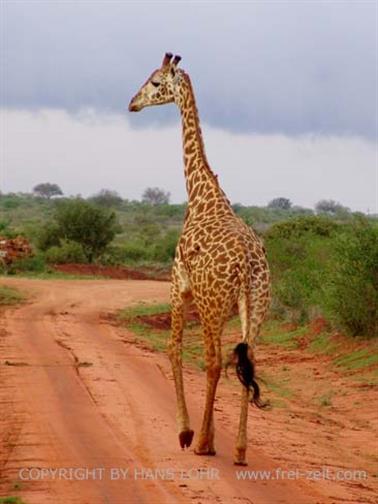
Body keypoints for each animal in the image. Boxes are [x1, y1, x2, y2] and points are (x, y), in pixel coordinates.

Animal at [128, 52, 270, 464]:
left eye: (156, 82)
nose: (133, 103)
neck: (201, 193)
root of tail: (246, 268)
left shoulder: (179, 284)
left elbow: (173, 349)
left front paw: (185, 432)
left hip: (212, 306)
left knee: (214, 362)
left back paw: (205, 442)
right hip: (257, 309)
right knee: (248, 360)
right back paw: (239, 449)